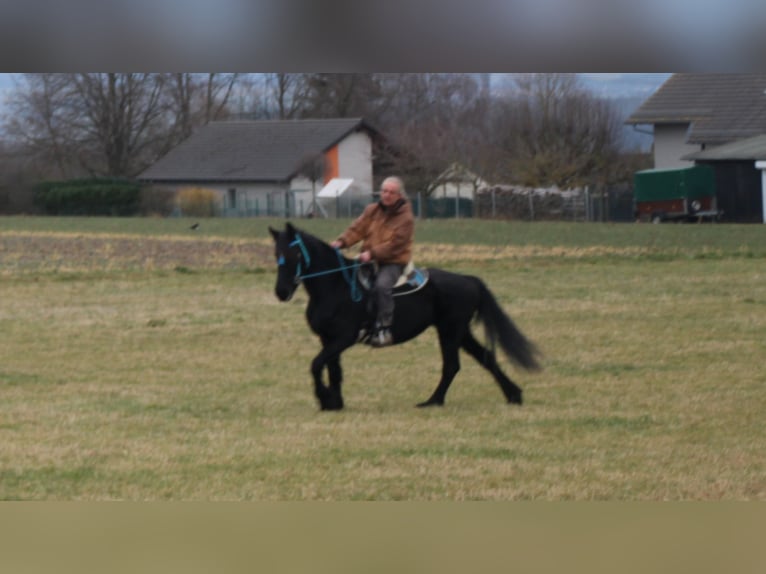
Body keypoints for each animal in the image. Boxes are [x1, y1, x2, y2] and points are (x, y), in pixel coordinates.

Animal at [268, 223, 540, 412]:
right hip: (460, 331)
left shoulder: (343, 338)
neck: (336, 287)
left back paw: (433, 401)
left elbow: (316, 365)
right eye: (275, 254)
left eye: (295, 255)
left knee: (452, 365)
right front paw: (334, 402)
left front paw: (325, 398)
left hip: (450, 330)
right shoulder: (328, 339)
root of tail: (469, 280)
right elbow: (333, 370)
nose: (281, 292)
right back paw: (513, 395)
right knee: (486, 358)